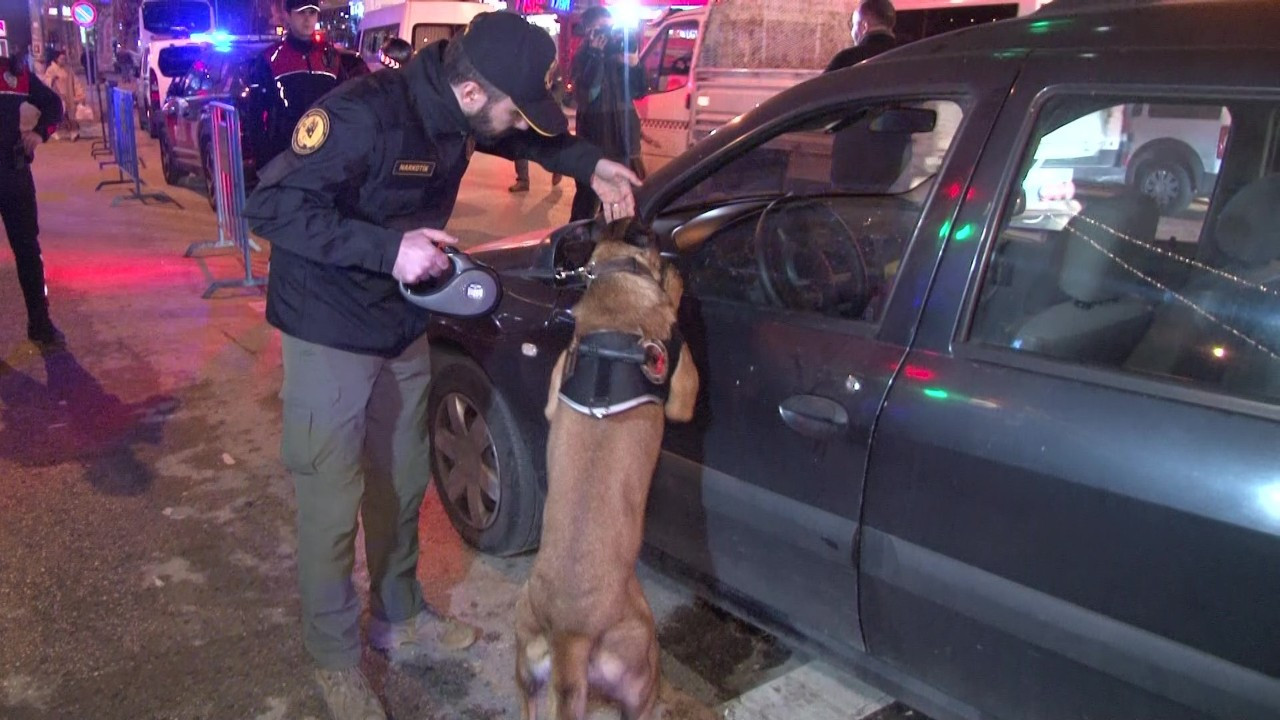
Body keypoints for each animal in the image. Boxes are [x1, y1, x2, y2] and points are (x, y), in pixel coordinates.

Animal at [512, 219, 701, 717]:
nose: (677, 260)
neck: (617, 278)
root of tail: (569, 635)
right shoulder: (683, 391)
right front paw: (674, 286)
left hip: (526, 666)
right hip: (643, 662)